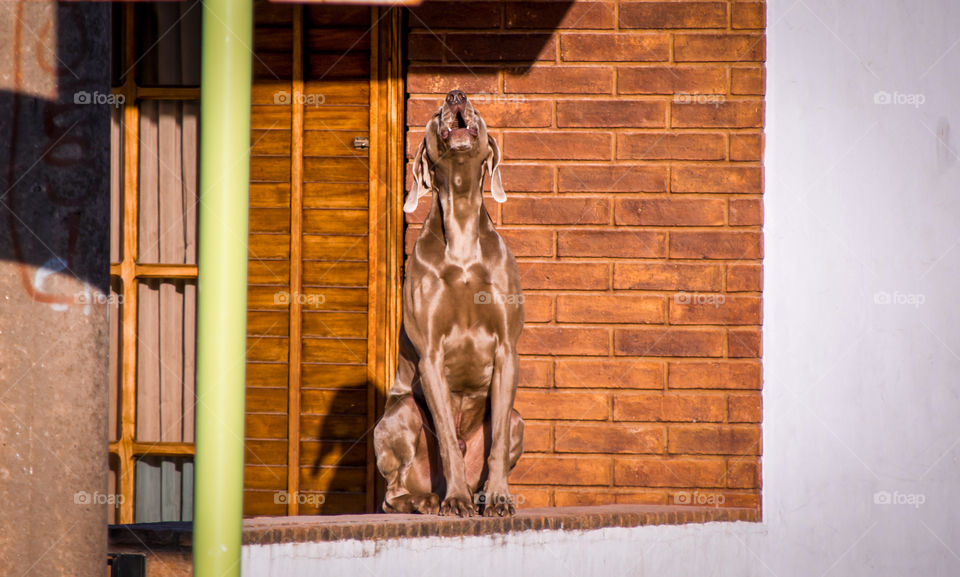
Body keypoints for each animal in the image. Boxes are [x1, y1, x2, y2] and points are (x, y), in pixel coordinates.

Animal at [374, 91, 524, 516]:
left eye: (475, 108)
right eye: (436, 111)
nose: (455, 94)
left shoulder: (507, 351)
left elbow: (496, 443)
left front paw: (500, 498)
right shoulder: (430, 356)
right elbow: (443, 437)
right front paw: (455, 500)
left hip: (518, 420)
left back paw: (477, 495)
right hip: (400, 414)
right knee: (392, 494)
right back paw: (426, 500)